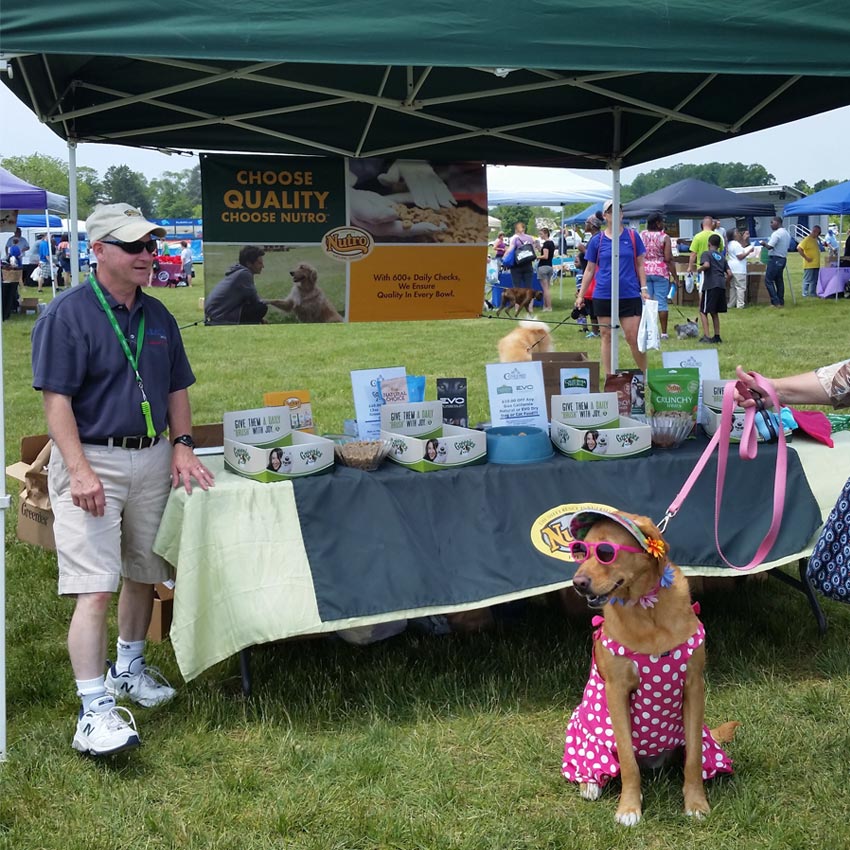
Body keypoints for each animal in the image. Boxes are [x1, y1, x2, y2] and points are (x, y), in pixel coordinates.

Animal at [564, 506, 736, 824]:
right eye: (581, 551)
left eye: (606, 552)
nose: (578, 584)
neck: (647, 610)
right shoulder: (617, 692)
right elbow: (628, 762)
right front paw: (629, 808)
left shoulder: (694, 686)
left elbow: (694, 759)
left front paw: (696, 803)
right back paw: (590, 783)